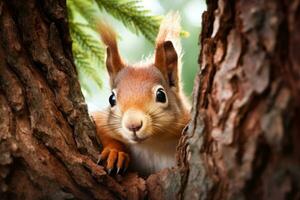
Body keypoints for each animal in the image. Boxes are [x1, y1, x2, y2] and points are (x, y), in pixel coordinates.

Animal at [91, 12, 190, 176]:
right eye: (111, 99)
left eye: (161, 95)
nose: (133, 124)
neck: (152, 144)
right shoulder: (99, 120)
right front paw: (115, 152)